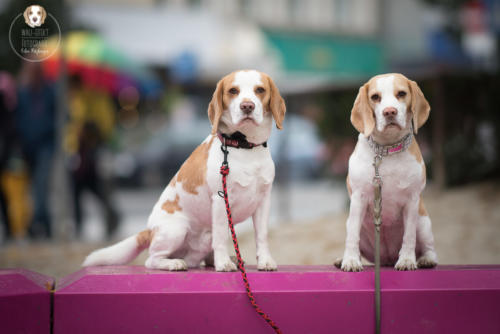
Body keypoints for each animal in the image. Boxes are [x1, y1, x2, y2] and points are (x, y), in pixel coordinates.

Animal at [82, 70, 286, 272]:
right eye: (233, 91)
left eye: (260, 90)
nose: (247, 106)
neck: (244, 147)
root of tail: (149, 230)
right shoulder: (221, 199)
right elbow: (221, 237)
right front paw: (223, 264)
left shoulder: (263, 201)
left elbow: (262, 236)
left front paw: (265, 261)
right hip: (177, 229)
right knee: (152, 260)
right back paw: (175, 263)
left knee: (203, 257)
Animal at [336, 73, 438, 272]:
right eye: (375, 97)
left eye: (402, 93)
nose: (389, 112)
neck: (386, 149)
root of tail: (386, 259)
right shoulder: (359, 198)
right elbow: (352, 236)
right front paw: (350, 260)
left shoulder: (412, 200)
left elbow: (409, 236)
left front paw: (407, 260)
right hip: (350, 221)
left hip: (423, 223)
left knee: (429, 248)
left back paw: (426, 259)